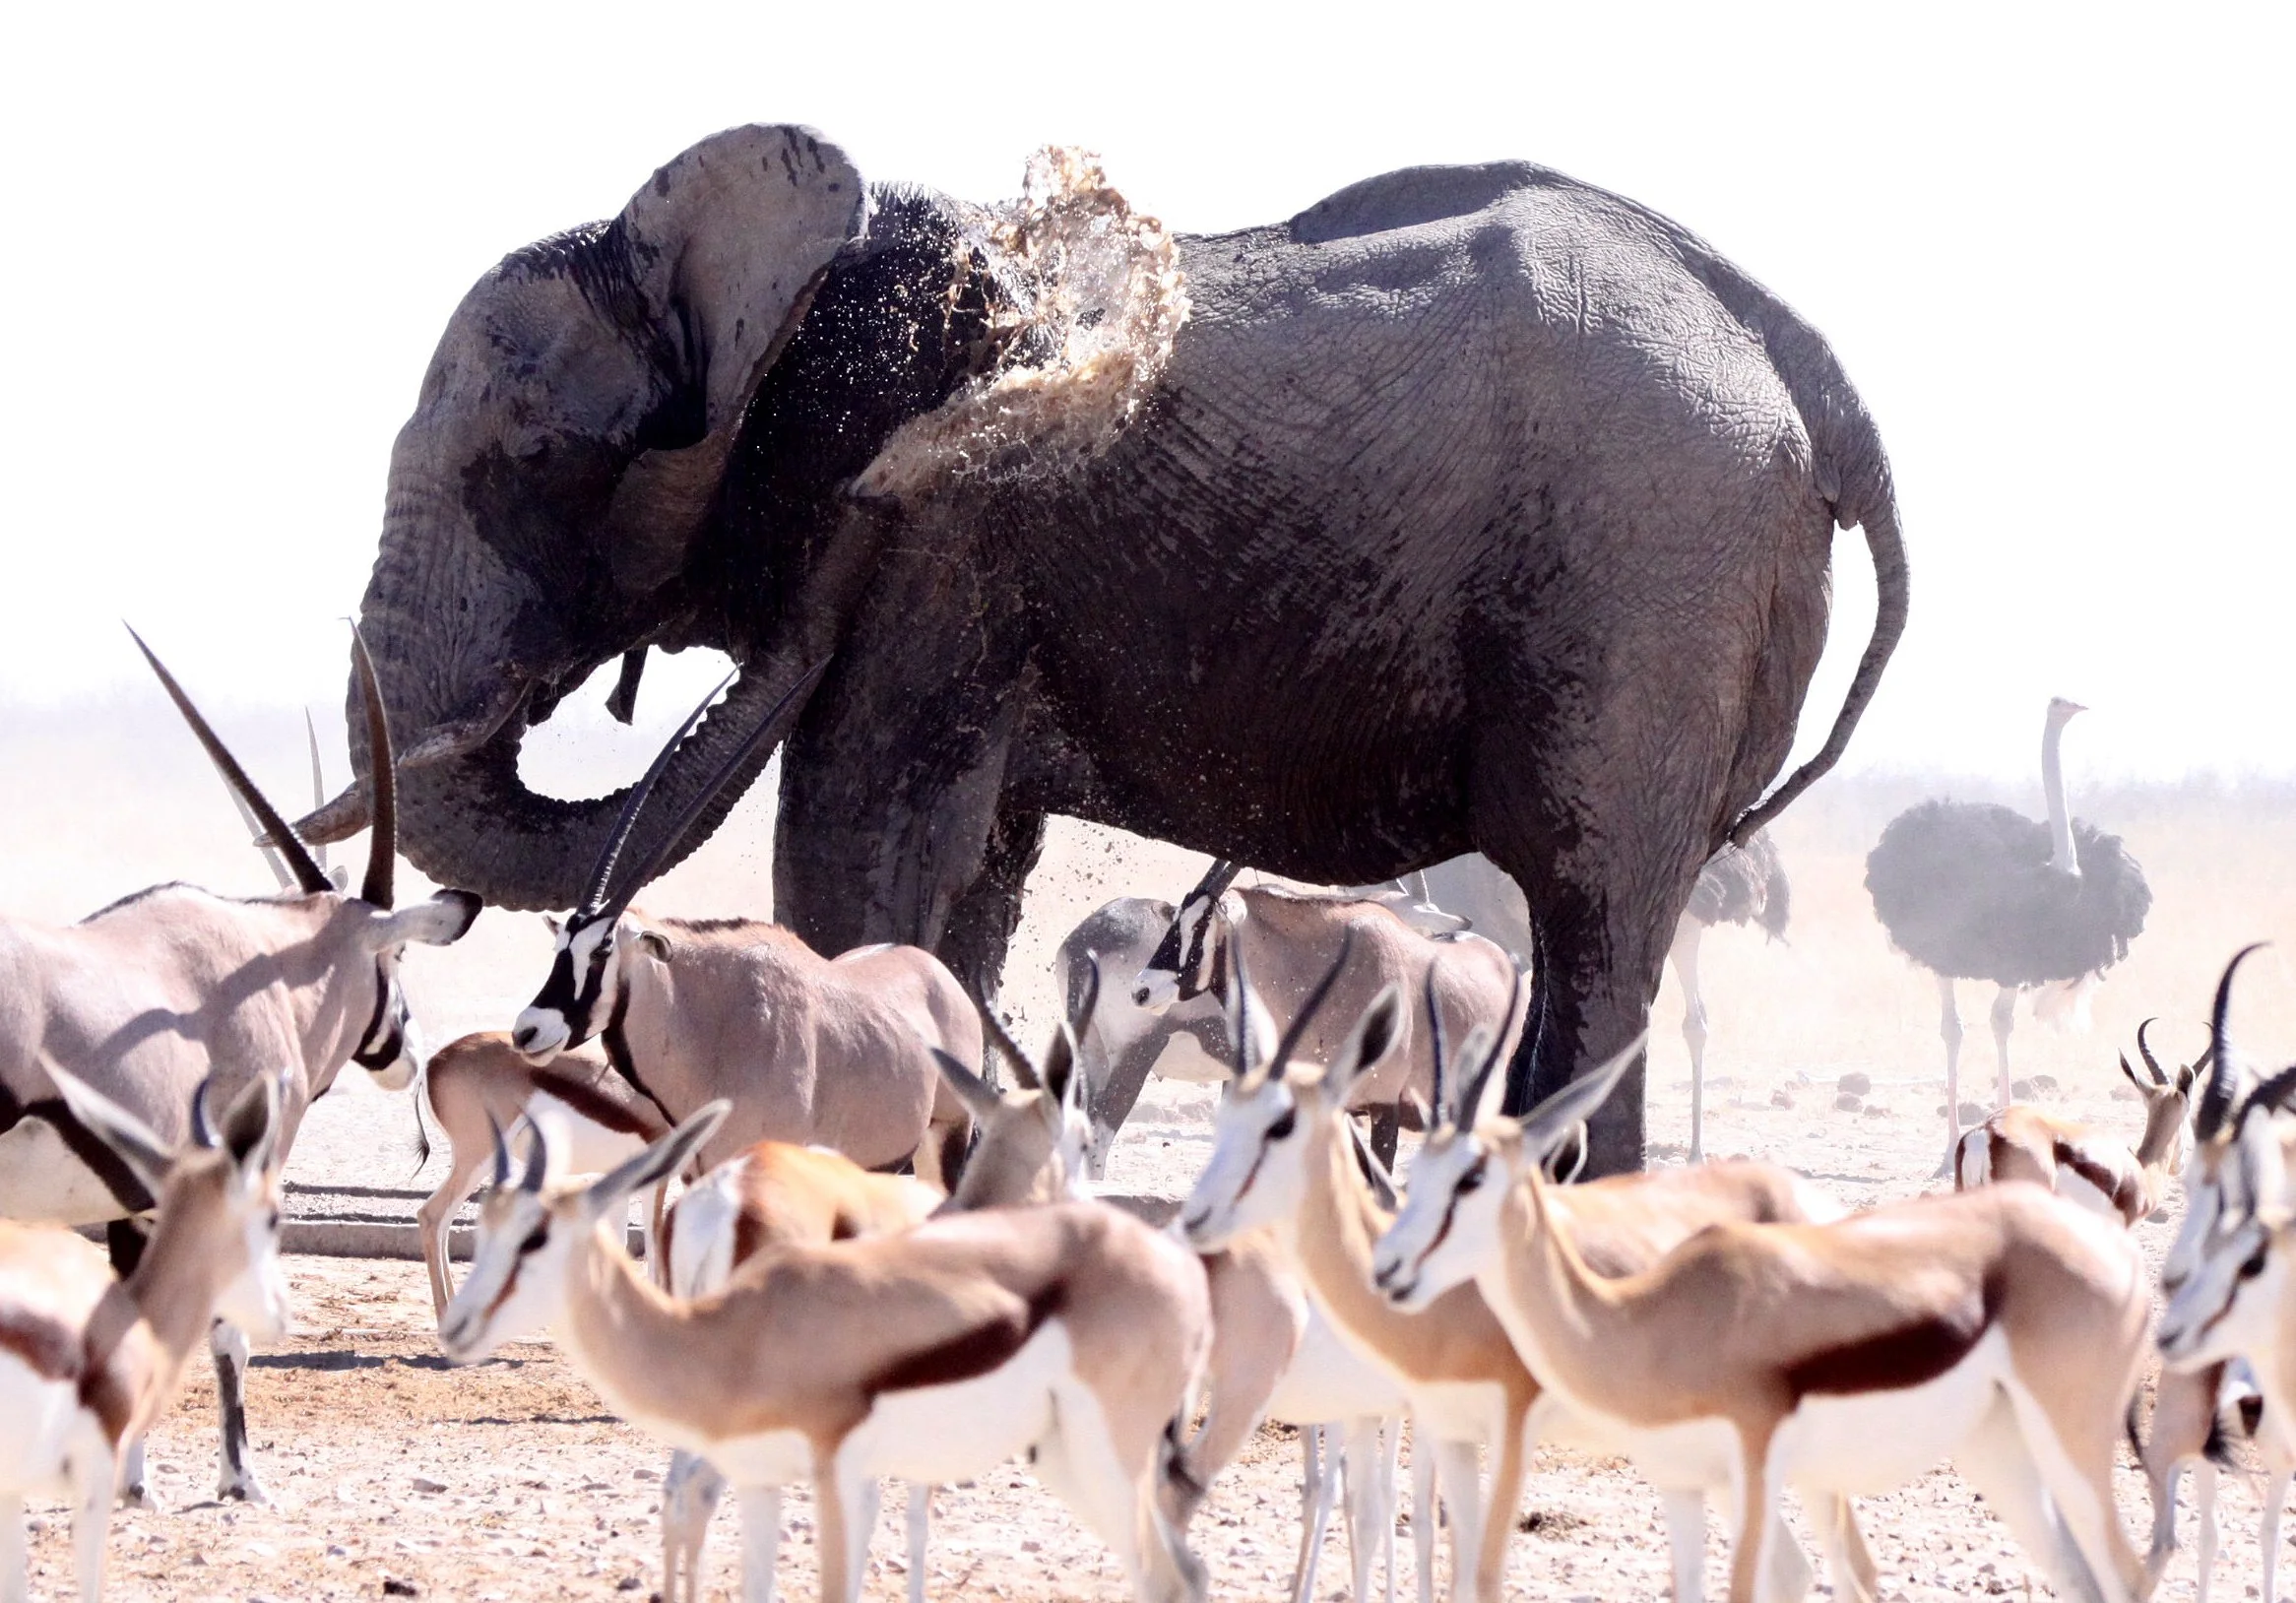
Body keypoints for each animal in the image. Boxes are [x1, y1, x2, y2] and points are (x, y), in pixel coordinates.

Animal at [307, 125, 1906, 1175]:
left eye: (529, 461)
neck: (822, 272)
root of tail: (1822, 393)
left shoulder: (936, 538)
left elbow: (856, 836)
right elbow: (960, 872)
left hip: (1653, 571)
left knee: (1589, 919)